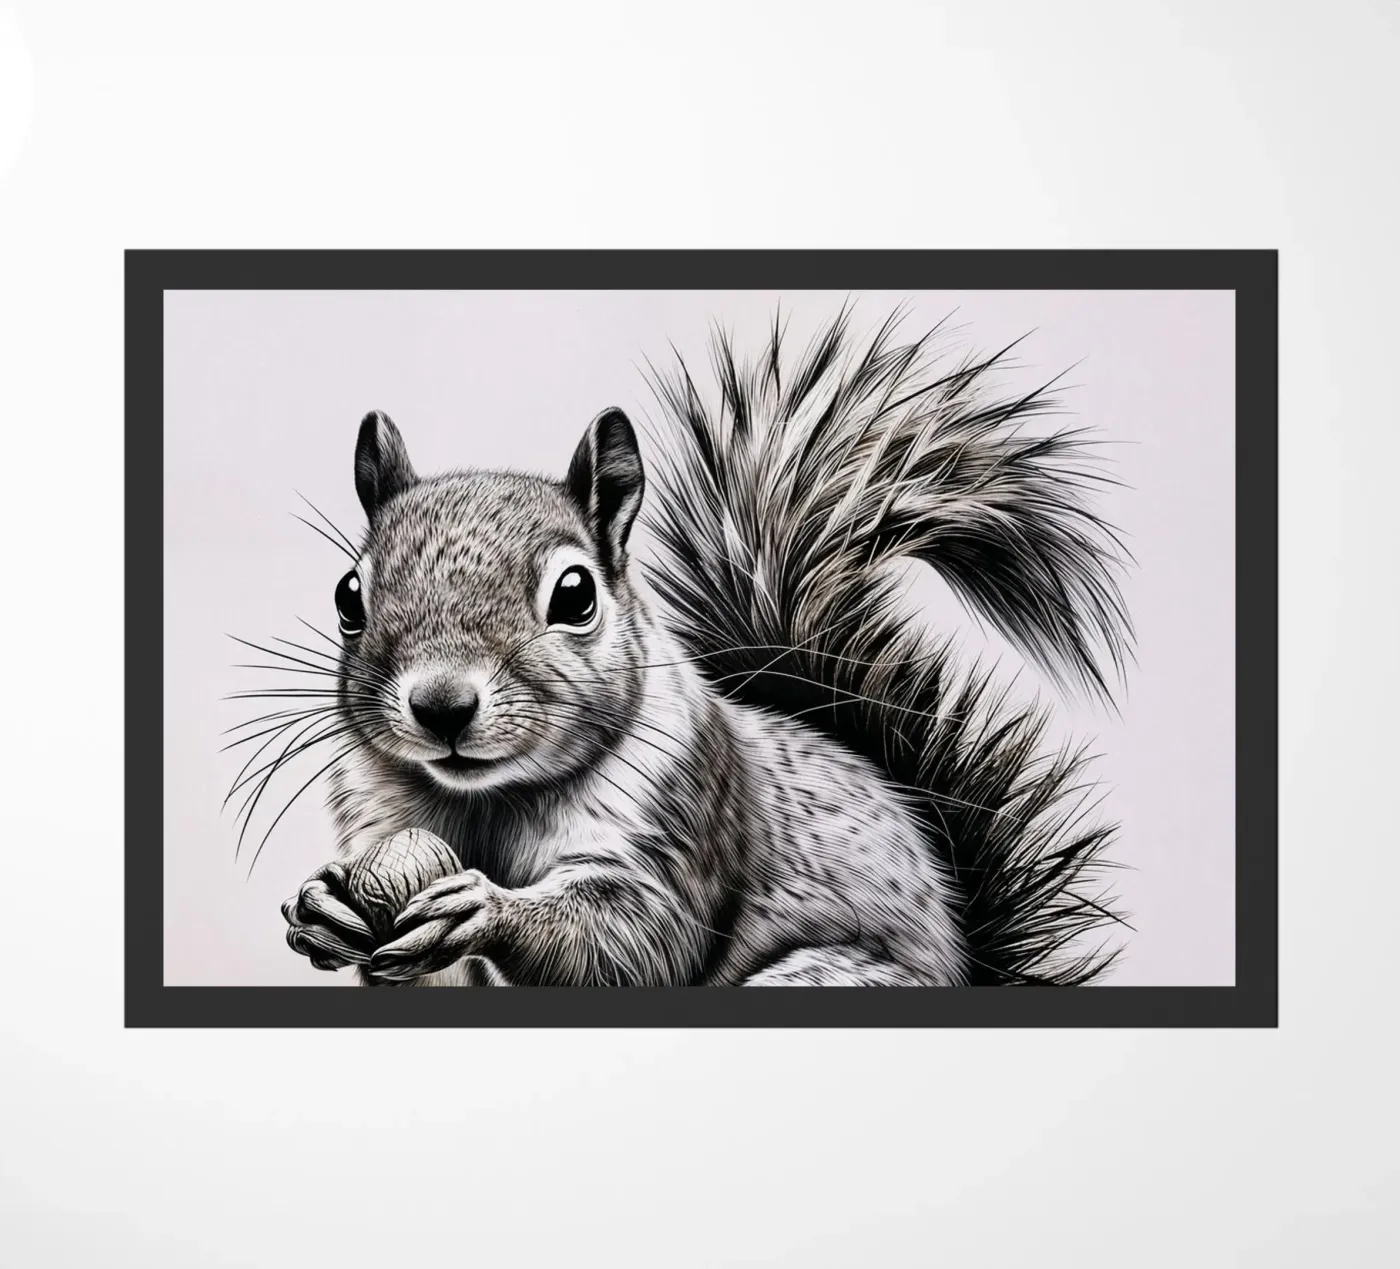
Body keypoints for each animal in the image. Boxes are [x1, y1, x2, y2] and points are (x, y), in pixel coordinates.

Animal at [267, 308, 1131, 987]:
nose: (441, 704)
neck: (488, 801)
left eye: (575, 594)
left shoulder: (681, 812)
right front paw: (324, 903)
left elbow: (638, 939)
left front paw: (483, 909)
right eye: (348, 596)